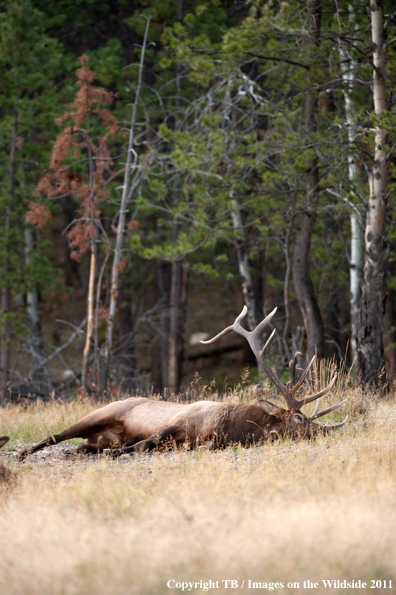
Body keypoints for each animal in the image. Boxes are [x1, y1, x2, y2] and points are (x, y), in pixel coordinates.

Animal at [17, 308, 346, 460]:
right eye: (300, 418)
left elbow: (200, 445)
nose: (324, 431)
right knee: (56, 435)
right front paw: (124, 452)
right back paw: (23, 454)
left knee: (84, 445)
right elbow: (145, 442)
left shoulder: (210, 439)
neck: (231, 425)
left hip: (100, 436)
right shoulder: (178, 420)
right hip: (100, 413)